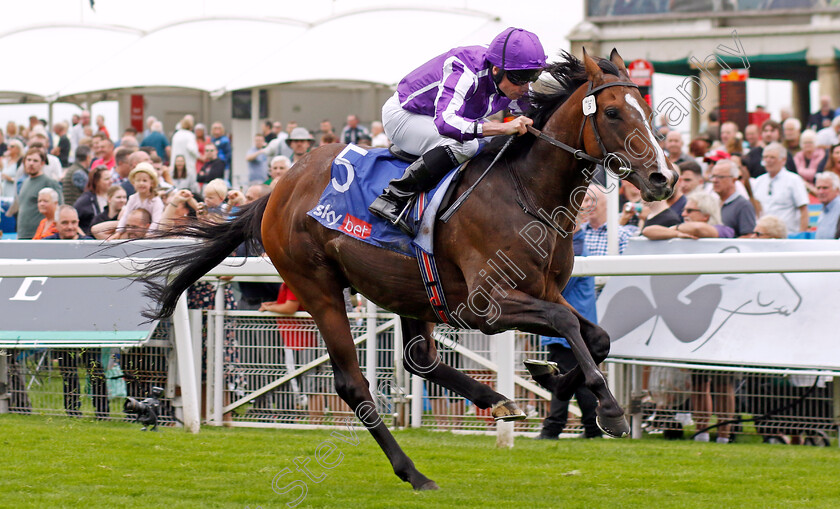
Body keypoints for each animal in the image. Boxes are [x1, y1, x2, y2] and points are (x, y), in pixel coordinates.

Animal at [138, 49, 676, 490]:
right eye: (612, 111)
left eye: (648, 111)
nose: (662, 178)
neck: (527, 192)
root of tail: (277, 188)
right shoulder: (487, 307)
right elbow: (568, 325)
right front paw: (608, 410)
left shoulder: (543, 291)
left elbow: (596, 336)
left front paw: (552, 379)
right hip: (318, 287)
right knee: (353, 384)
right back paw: (414, 472)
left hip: (409, 290)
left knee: (421, 360)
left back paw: (495, 401)